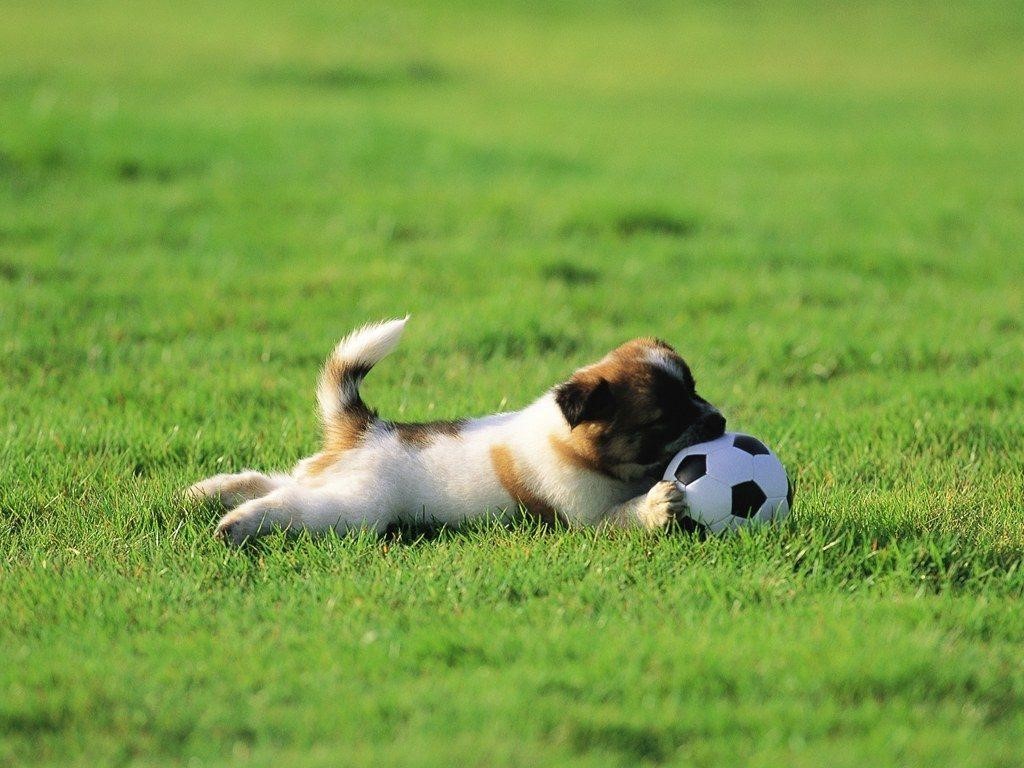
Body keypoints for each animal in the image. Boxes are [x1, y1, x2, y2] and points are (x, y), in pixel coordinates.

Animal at [186, 319, 729, 548]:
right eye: (663, 419)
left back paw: (207, 492)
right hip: (357, 506)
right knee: (289, 504)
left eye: (695, 390)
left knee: (275, 480)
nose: (721, 422)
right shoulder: (587, 518)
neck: (575, 444)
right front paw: (659, 505)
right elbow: (627, 515)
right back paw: (237, 523)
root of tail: (366, 429)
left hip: (330, 478)